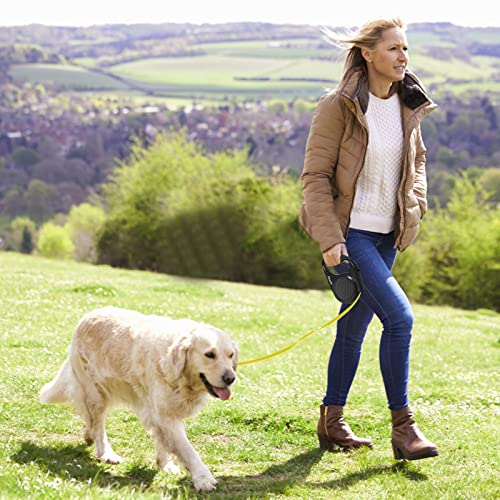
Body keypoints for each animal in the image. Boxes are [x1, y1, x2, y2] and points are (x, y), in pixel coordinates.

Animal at [39, 304, 238, 492]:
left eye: (230, 355)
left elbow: (162, 442)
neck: (176, 373)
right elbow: (188, 450)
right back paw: (107, 453)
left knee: (89, 419)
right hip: (97, 393)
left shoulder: (158, 414)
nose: (231, 378)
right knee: (98, 426)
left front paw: (165, 465)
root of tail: (88, 316)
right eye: (209, 354)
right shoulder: (165, 416)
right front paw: (203, 478)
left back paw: (88, 436)